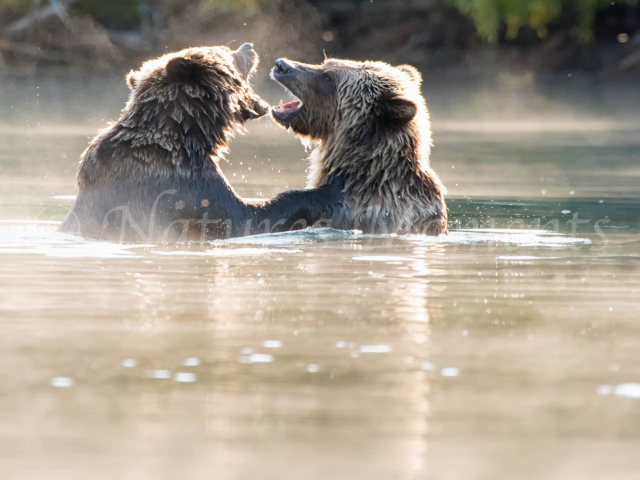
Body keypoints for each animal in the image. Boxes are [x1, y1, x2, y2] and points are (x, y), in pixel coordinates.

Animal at [59, 43, 343, 243]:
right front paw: (328, 189)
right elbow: (248, 218)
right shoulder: (188, 188)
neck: (188, 138)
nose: (248, 46)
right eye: (225, 50)